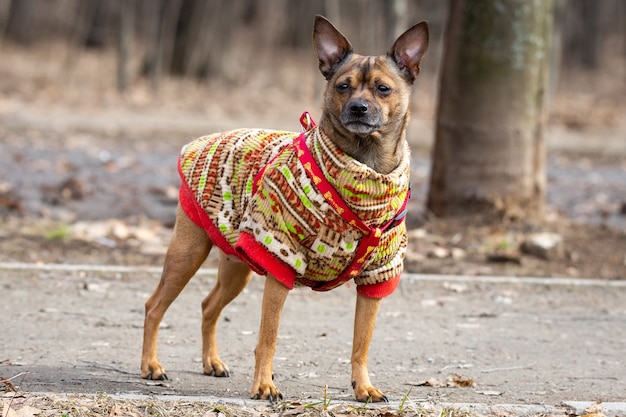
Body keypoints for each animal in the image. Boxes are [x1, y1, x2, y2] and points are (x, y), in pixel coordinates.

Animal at [140, 14, 426, 402]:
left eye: (383, 89)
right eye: (343, 86)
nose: (358, 108)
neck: (365, 166)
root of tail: (206, 140)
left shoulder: (376, 277)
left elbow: (361, 342)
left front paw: (363, 387)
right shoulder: (279, 261)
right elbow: (269, 336)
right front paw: (264, 385)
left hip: (237, 267)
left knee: (208, 306)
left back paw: (212, 362)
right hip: (188, 254)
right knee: (155, 305)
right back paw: (151, 366)